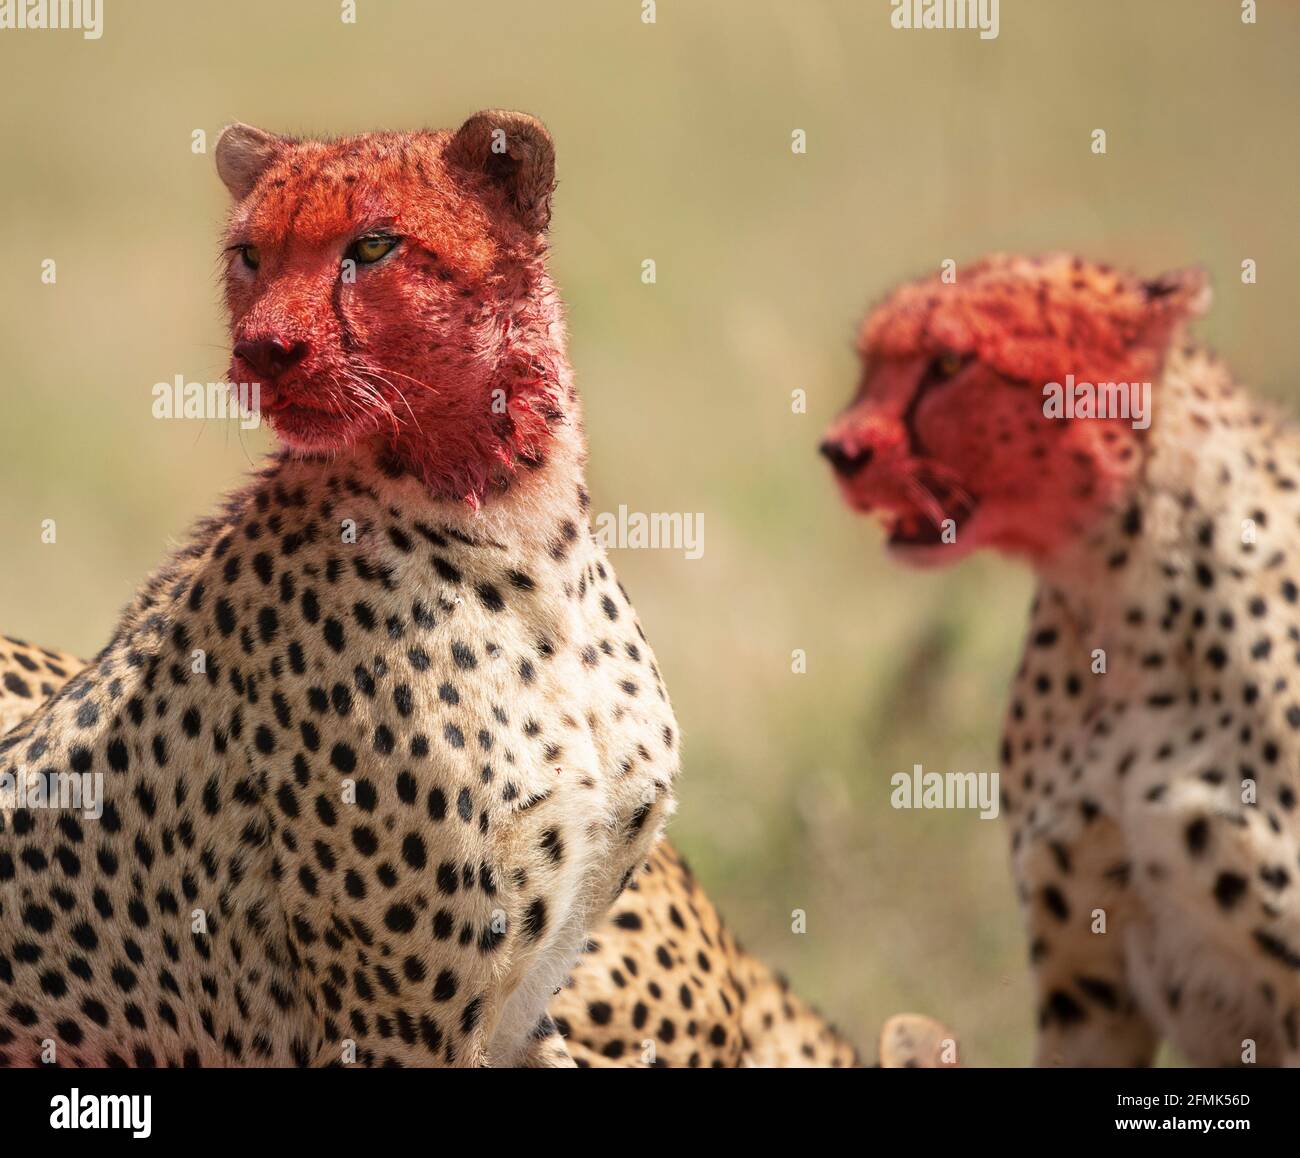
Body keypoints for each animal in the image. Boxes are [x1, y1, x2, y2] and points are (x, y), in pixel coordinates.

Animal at [0, 108, 691, 1070]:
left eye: (373, 244)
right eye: (250, 254)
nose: (263, 350)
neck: (515, 518)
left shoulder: (522, 1004)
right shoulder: (395, 1027)